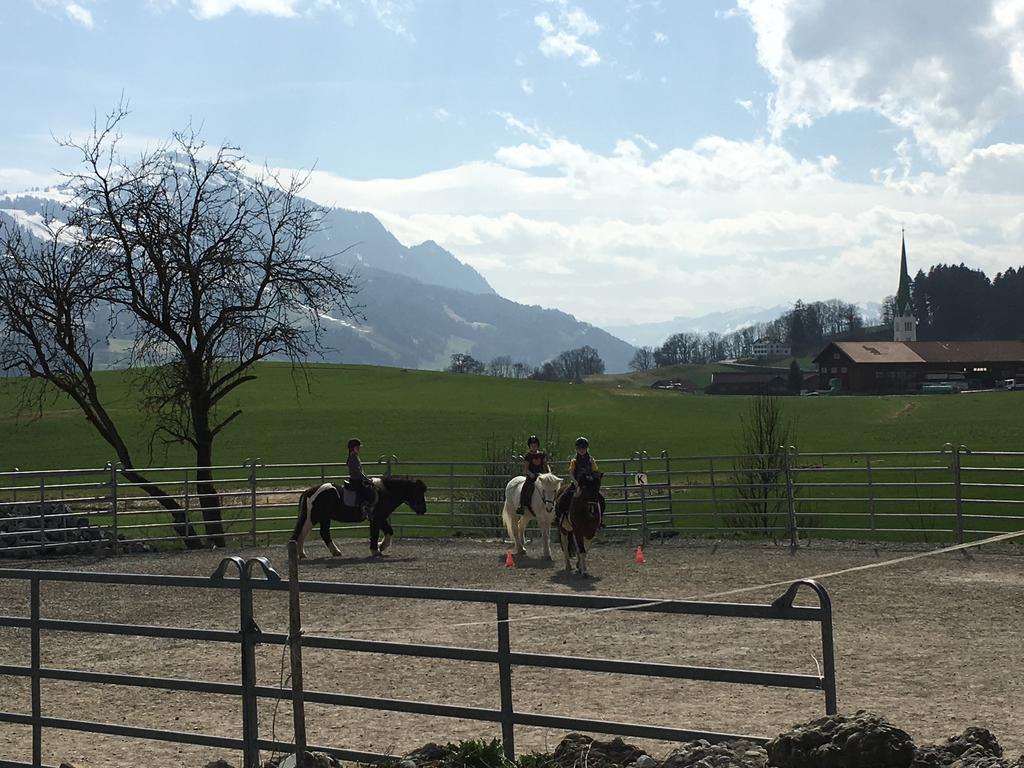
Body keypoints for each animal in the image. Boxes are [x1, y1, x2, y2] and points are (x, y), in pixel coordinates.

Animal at [292, 475, 428, 561]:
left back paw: (334, 552)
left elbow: (389, 531)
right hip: (313, 517)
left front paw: (381, 546)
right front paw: (376, 549)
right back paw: (302, 554)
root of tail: (309, 491)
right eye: (417, 492)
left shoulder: (381, 518)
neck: (384, 493)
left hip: (325, 518)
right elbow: (376, 533)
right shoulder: (376, 518)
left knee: (323, 533)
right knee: (303, 532)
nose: (423, 510)